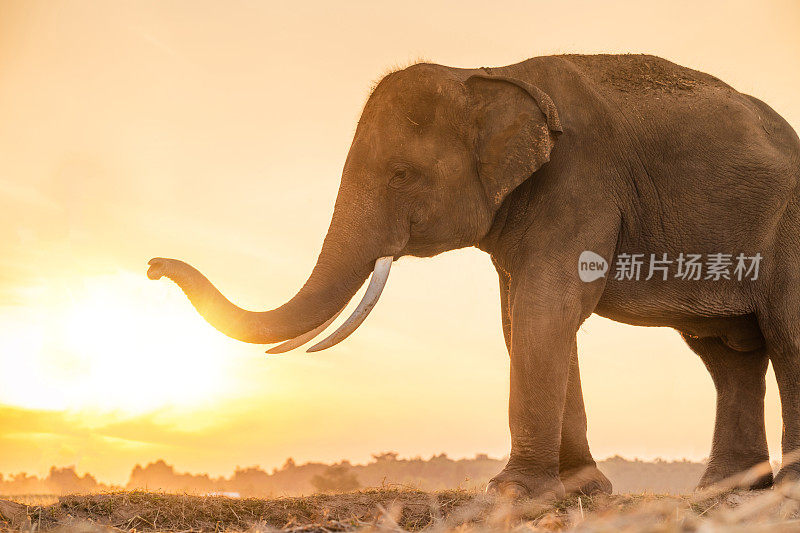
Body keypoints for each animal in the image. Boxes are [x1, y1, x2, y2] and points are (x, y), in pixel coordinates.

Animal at [147, 54, 800, 498]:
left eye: (402, 174)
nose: (152, 266)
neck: (488, 74)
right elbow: (523, 319)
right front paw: (580, 492)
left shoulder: (578, 184)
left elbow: (546, 311)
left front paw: (513, 494)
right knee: (726, 354)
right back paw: (728, 493)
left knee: (783, 338)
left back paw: (779, 497)